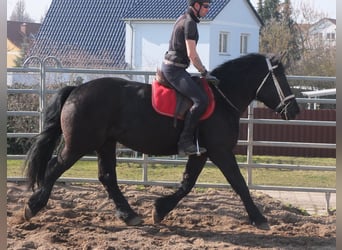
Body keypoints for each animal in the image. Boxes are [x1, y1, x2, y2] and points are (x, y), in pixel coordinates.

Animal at [23, 53, 300, 229]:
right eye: (281, 78)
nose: (295, 110)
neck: (222, 99)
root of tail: (76, 90)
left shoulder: (202, 152)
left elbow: (187, 183)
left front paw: (160, 209)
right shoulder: (220, 151)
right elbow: (239, 184)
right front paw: (259, 218)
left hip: (105, 143)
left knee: (107, 177)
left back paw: (129, 215)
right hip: (79, 145)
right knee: (54, 169)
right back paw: (32, 206)